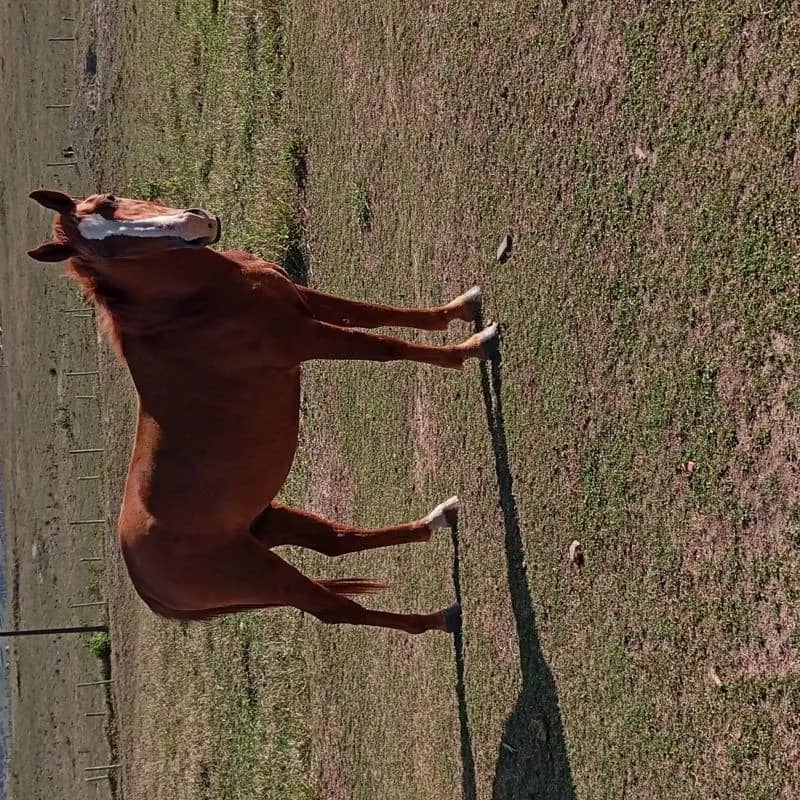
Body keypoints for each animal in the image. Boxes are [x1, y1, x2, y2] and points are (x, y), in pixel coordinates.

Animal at [27, 189, 499, 634]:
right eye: (108, 252)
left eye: (109, 200)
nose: (195, 225)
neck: (192, 308)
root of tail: (145, 584)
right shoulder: (307, 337)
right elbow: (388, 346)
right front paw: (471, 348)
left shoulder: (306, 301)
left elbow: (382, 314)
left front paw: (464, 306)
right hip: (267, 576)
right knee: (339, 610)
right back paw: (440, 618)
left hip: (267, 523)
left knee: (337, 541)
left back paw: (440, 518)